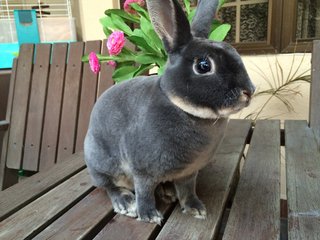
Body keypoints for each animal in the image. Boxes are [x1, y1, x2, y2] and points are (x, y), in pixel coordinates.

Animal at [84, 0, 255, 225]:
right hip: (101, 164)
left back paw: (167, 192)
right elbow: (144, 193)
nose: (249, 91)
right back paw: (125, 202)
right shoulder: (143, 172)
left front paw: (196, 209)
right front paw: (149, 215)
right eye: (203, 65)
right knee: (108, 186)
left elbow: (187, 190)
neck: (183, 109)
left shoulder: (189, 173)